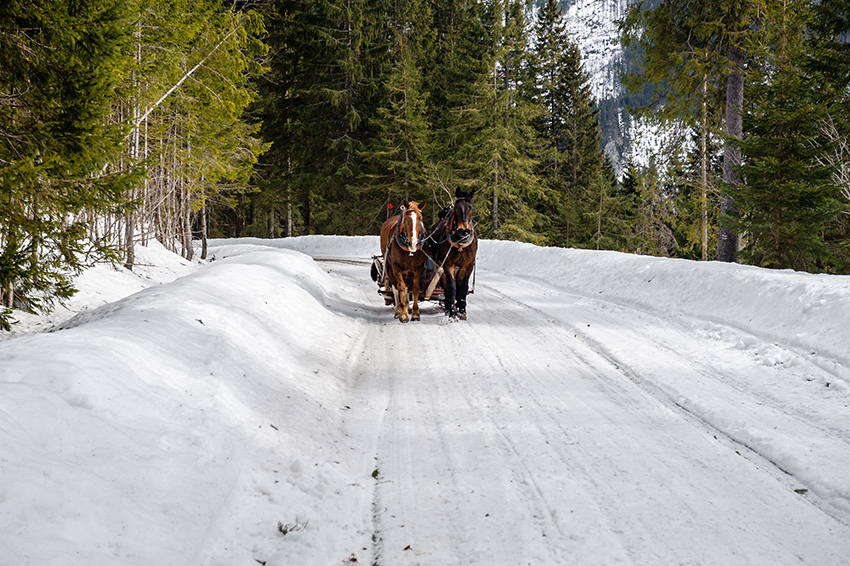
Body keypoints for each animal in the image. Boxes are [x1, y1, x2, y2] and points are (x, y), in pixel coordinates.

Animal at [424, 187, 476, 318]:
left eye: (470, 207)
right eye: (456, 207)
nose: (463, 230)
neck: (460, 243)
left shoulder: (467, 265)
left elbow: (463, 286)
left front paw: (462, 310)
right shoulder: (448, 264)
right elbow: (451, 286)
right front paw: (452, 312)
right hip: (439, 263)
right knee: (445, 284)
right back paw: (448, 307)